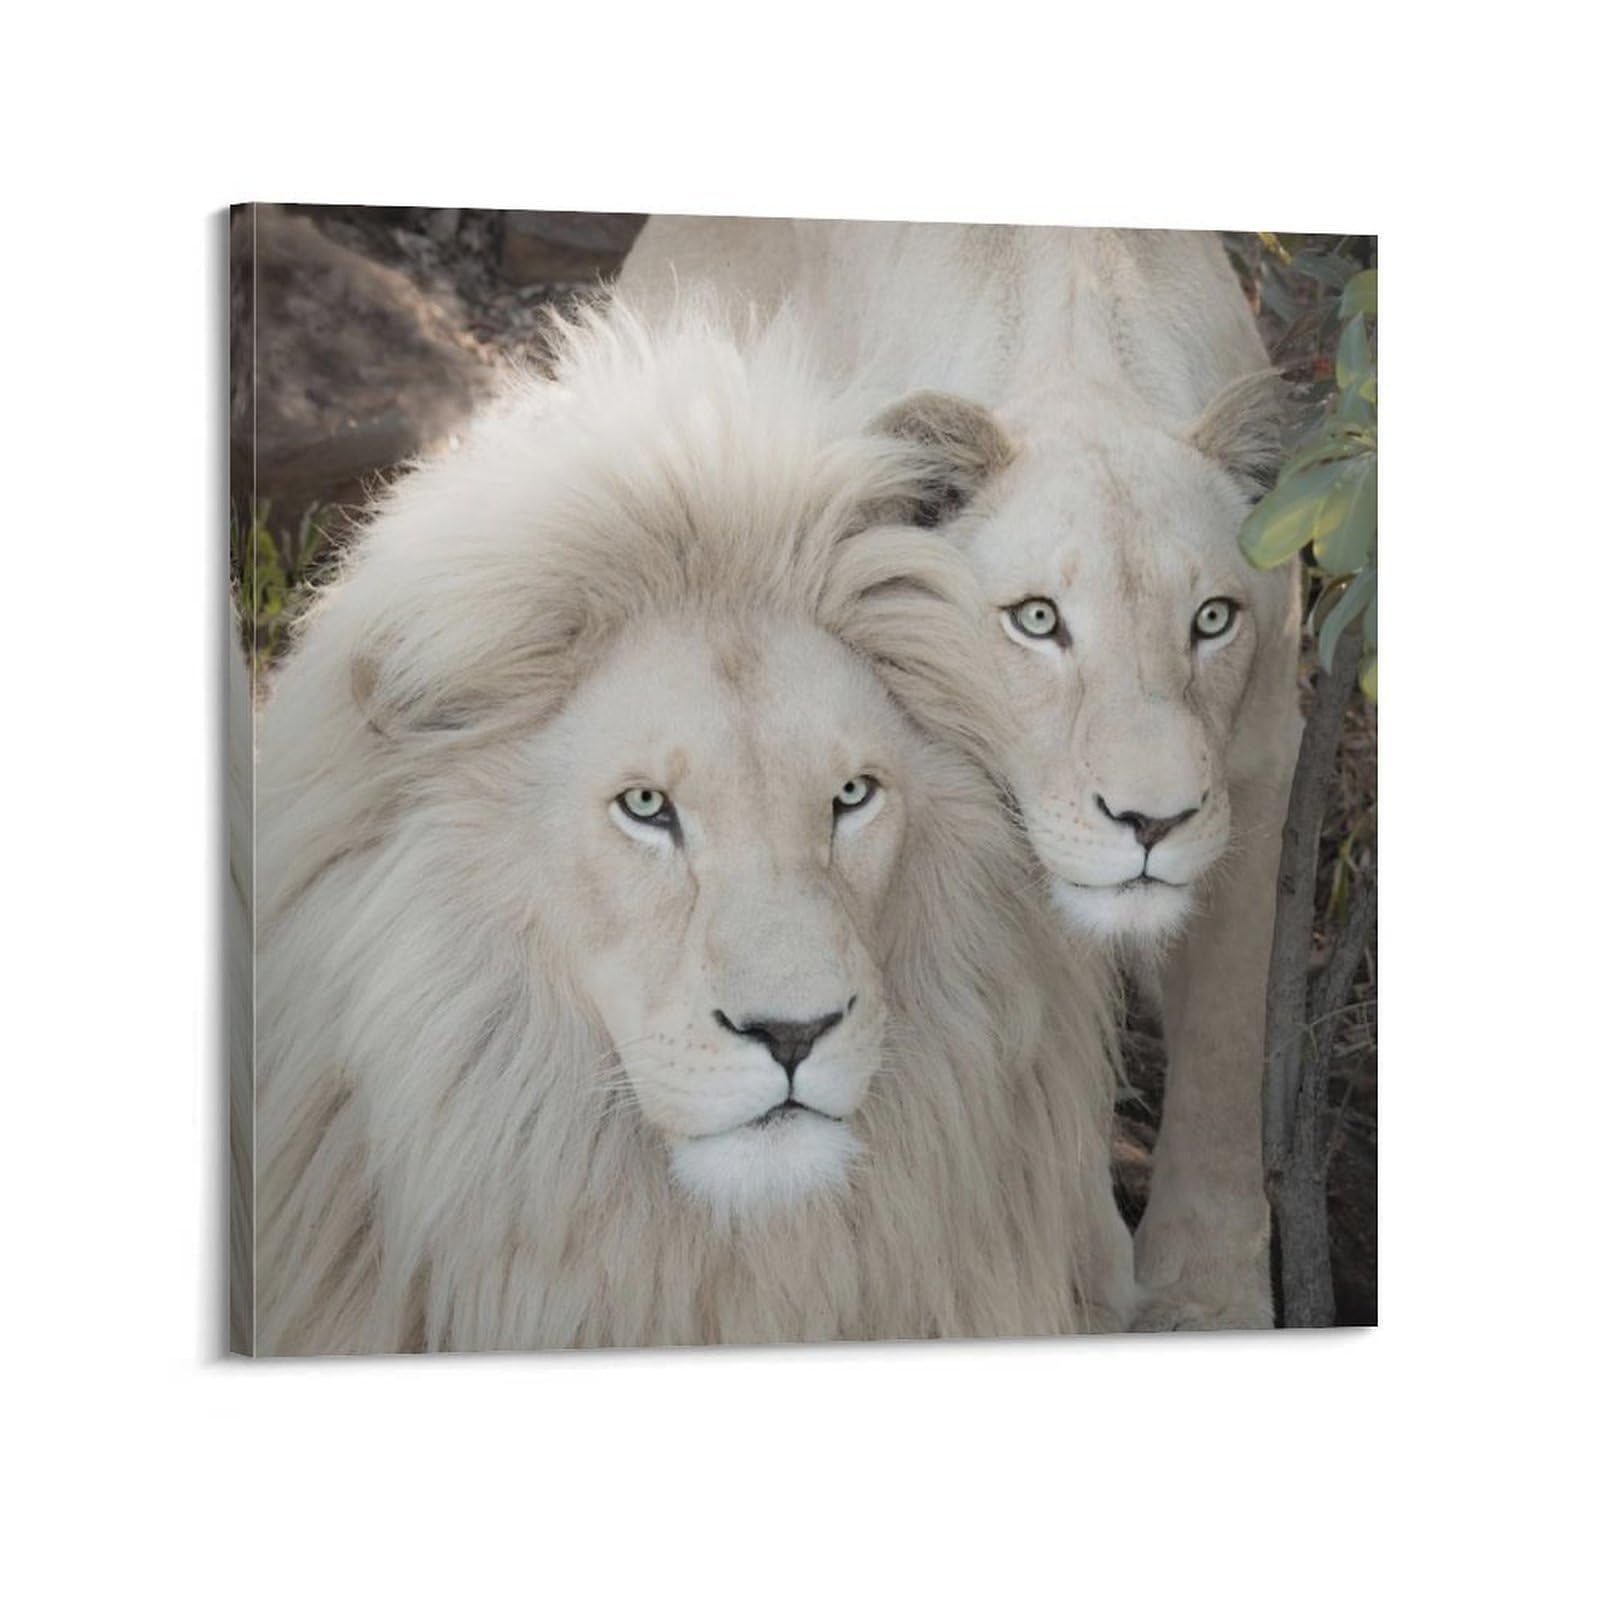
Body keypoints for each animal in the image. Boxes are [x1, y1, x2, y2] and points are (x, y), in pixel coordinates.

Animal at [620, 222, 1302, 1329]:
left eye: (1212, 618)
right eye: (1037, 619)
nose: (1152, 823)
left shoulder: (1256, 766)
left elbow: (1225, 1049)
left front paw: (1208, 1300)